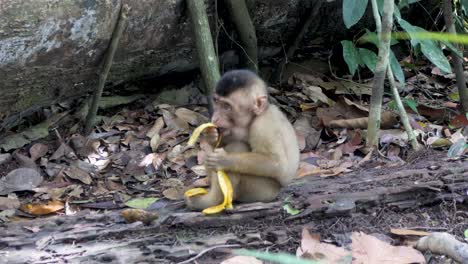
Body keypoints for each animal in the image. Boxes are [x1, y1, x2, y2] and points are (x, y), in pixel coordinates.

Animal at [185, 69, 298, 211]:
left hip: (260, 191)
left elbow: (277, 163)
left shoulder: (264, 125)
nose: (215, 118)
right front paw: (211, 136)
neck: (254, 118)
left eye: (226, 106)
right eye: (216, 102)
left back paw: (211, 201)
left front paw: (224, 160)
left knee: (237, 146)